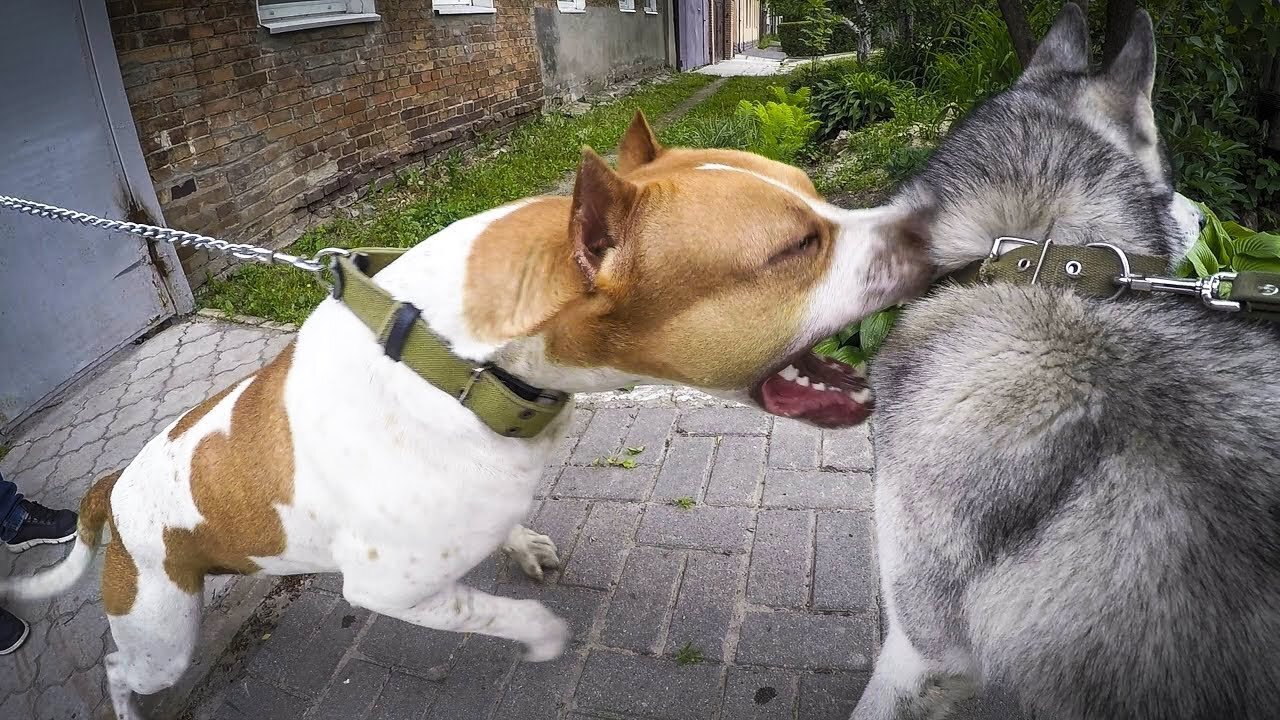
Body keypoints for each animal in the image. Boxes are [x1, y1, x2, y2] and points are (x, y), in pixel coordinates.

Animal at [0, 113, 931, 717]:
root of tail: (111, 486)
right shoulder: (392, 588)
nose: (926, 221)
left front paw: (520, 545)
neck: (462, 363)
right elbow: (494, 614)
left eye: (819, 196)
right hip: (162, 634)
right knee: (120, 669)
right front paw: (543, 638)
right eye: (795, 248)